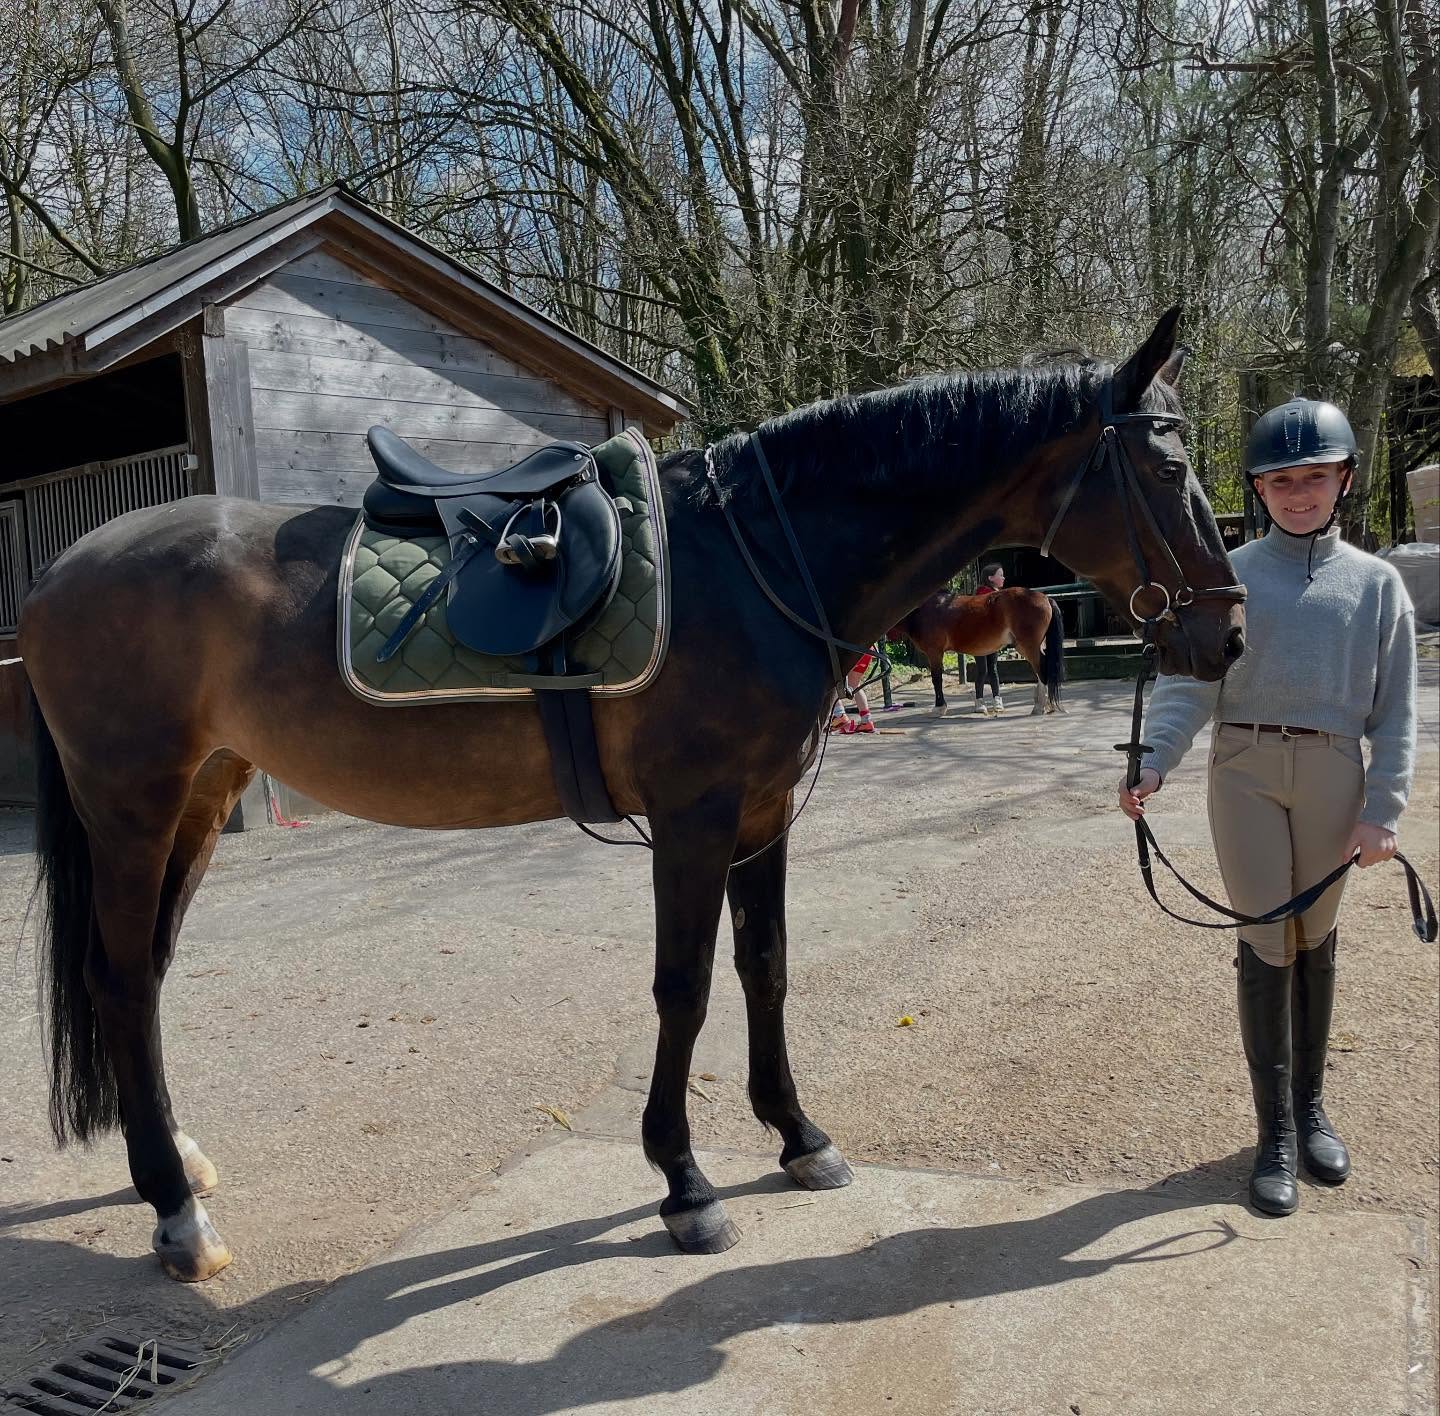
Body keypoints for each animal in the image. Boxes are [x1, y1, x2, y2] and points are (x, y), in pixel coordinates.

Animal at [891, 587, 1065, 716]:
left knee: (1042, 669)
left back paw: (1039, 707)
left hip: (1028, 646)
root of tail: (1045, 598)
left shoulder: (934, 652)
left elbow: (936, 679)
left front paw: (939, 708)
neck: (923, 610)